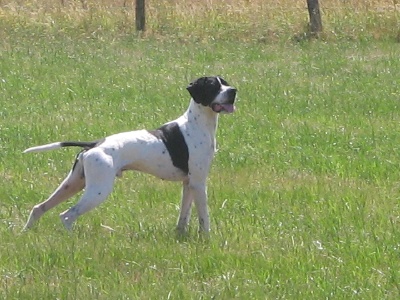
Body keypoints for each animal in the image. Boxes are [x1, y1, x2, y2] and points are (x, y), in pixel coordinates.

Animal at [22, 76, 238, 233]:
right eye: (213, 86)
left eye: (225, 83)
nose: (233, 91)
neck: (197, 124)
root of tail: (94, 144)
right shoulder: (199, 183)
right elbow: (204, 218)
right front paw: (207, 239)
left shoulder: (188, 183)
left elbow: (183, 215)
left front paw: (180, 235)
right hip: (98, 189)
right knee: (67, 215)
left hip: (73, 184)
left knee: (39, 208)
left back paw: (27, 232)